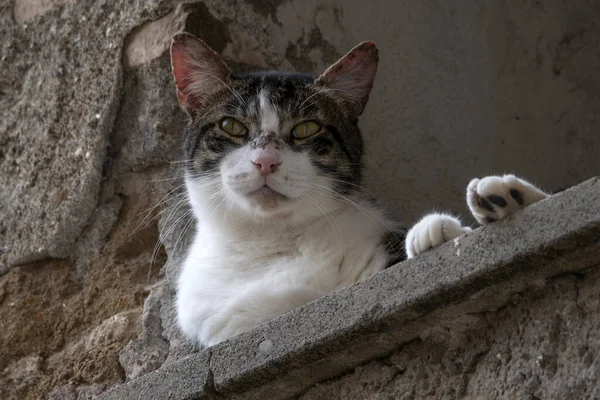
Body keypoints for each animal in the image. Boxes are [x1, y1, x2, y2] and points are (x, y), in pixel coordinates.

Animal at [168, 32, 548, 348]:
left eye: (306, 128)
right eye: (231, 126)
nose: (265, 161)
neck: (273, 242)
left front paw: (434, 233)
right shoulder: (227, 323)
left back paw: (502, 197)